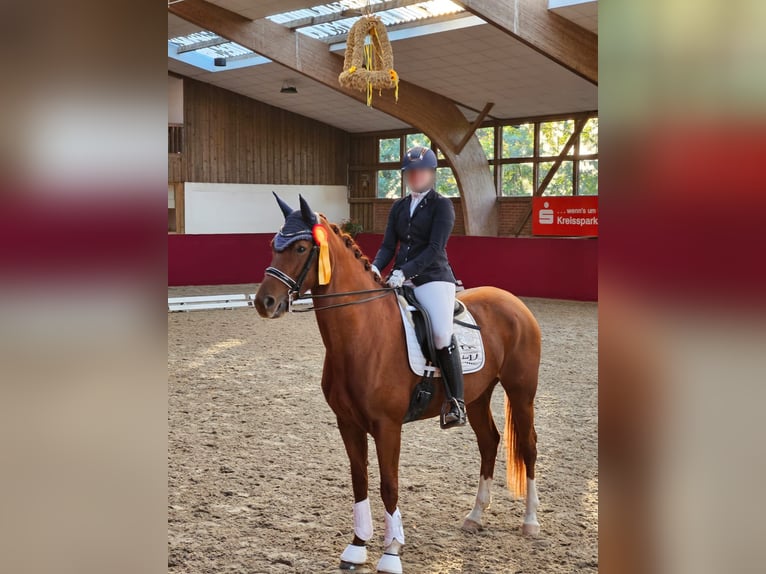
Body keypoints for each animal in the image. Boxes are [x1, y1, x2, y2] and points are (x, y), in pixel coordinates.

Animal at [254, 195, 541, 574]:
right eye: (273, 245)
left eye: (301, 247)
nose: (264, 302)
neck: (362, 333)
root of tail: (513, 302)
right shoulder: (347, 423)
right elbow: (359, 480)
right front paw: (357, 546)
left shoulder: (387, 426)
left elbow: (389, 484)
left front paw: (391, 551)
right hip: (478, 397)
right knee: (489, 443)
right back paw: (475, 516)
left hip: (521, 392)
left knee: (528, 446)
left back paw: (531, 522)